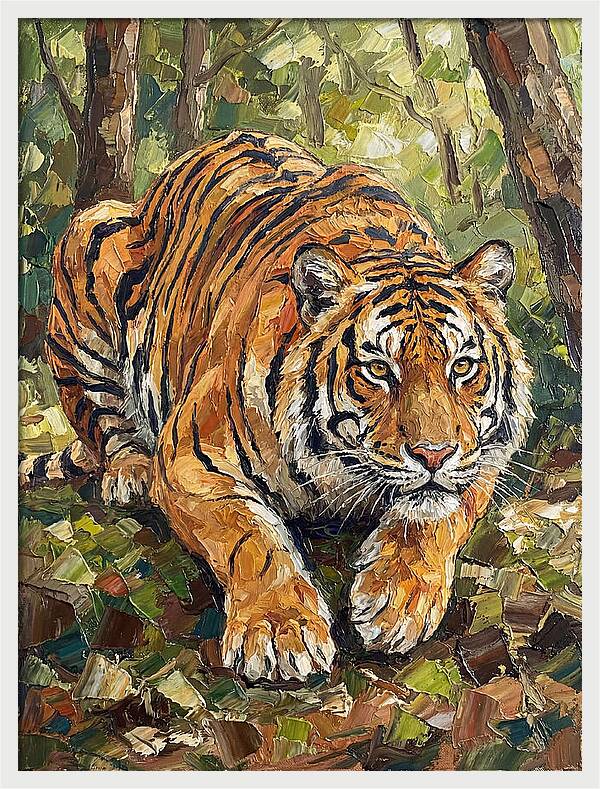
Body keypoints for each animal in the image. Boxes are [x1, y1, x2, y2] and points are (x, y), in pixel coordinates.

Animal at [20, 130, 533, 682]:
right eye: (378, 370)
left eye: (462, 366)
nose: (434, 455)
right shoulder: (191, 459)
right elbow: (251, 537)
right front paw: (278, 628)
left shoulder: (481, 457)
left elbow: (435, 518)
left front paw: (395, 602)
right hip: (89, 246)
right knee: (103, 421)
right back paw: (129, 471)